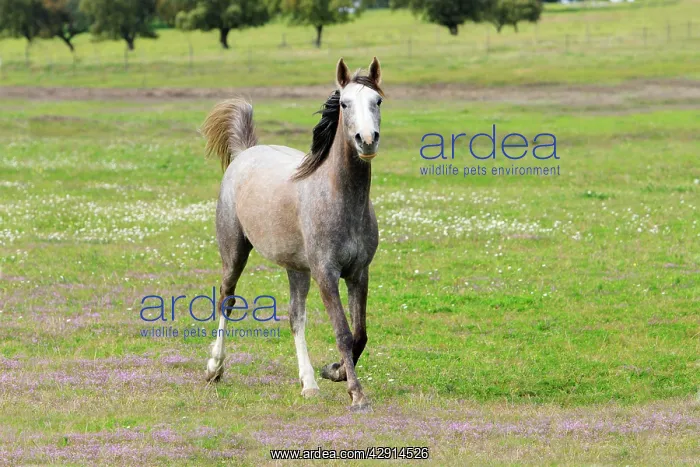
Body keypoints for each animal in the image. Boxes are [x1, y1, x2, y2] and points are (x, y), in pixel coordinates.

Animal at [200, 58, 384, 411]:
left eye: (378, 101)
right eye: (344, 103)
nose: (366, 140)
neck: (340, 199)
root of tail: (245, 153)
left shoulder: (359, 273)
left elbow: (361, 333)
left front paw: (334, 371)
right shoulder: (326, 273)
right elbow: (343, 331)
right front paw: (356, 393)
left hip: (297, 268)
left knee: (295, 317)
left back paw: (309, 383)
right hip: (234, 252)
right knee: (226, 300)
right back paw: (214, 368)